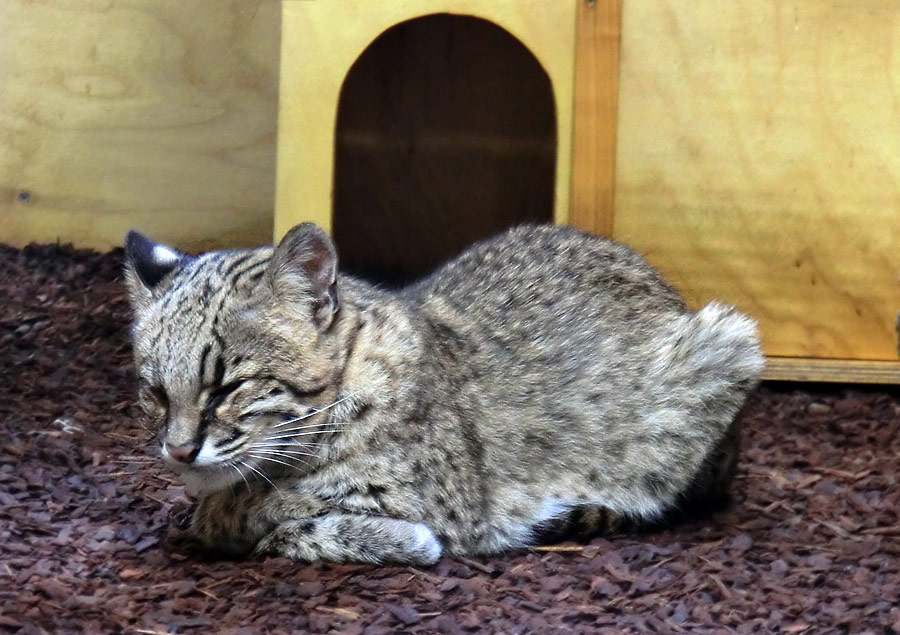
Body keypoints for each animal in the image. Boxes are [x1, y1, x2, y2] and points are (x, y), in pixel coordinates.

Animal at [123, 224, 764, 568]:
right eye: (154, 393)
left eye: (228, 387)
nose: (177, 451)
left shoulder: (445, 510)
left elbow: (258, 511)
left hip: (728, 345)